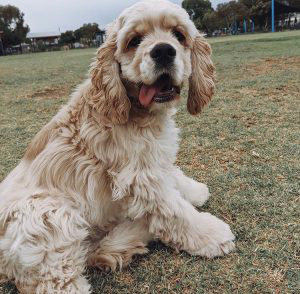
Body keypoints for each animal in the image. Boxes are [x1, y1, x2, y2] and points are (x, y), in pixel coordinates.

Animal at [0, 1, 234, 292]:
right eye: (134, 41)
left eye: (179, 35)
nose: (163, 51)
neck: (135, 110)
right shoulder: (139, 177)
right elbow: (175, 212)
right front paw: (211, 234)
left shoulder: (154, 158)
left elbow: (173, 176)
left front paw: (194, 190)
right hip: (48, 215)